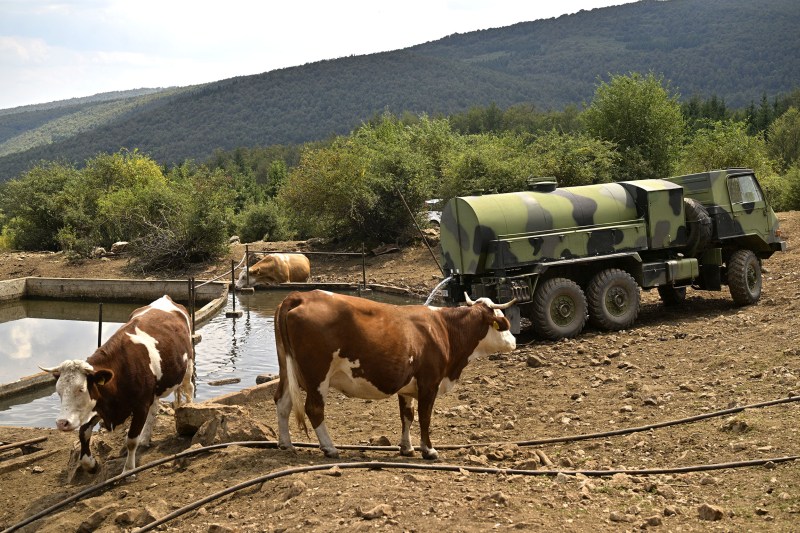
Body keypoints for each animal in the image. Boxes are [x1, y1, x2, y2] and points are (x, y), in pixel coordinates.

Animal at [41, 296, 195, 474]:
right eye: (58, 392)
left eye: (81, 389)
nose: (62, 423)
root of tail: (166, 298)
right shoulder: (98, 405)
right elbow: (83, 434)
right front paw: (91, 464)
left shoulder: (140, 406)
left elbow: (131, 440)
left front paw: (128, 470)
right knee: (155, 407)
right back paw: (145, 438)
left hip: (188, 366)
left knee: (189, 390)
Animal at [272, 288, 516, 460]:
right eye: (502, 322)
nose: (514, 341)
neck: (444, 328)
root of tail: (300, 296)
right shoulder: (429, 382)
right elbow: (425, 416)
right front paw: (429, 450)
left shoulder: (408, 385)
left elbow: (407, 415)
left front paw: (407, 447)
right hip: (317, 375)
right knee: (314, 408)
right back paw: (329, 448)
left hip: (288, 369)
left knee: (282, 402)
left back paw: (286, 444)